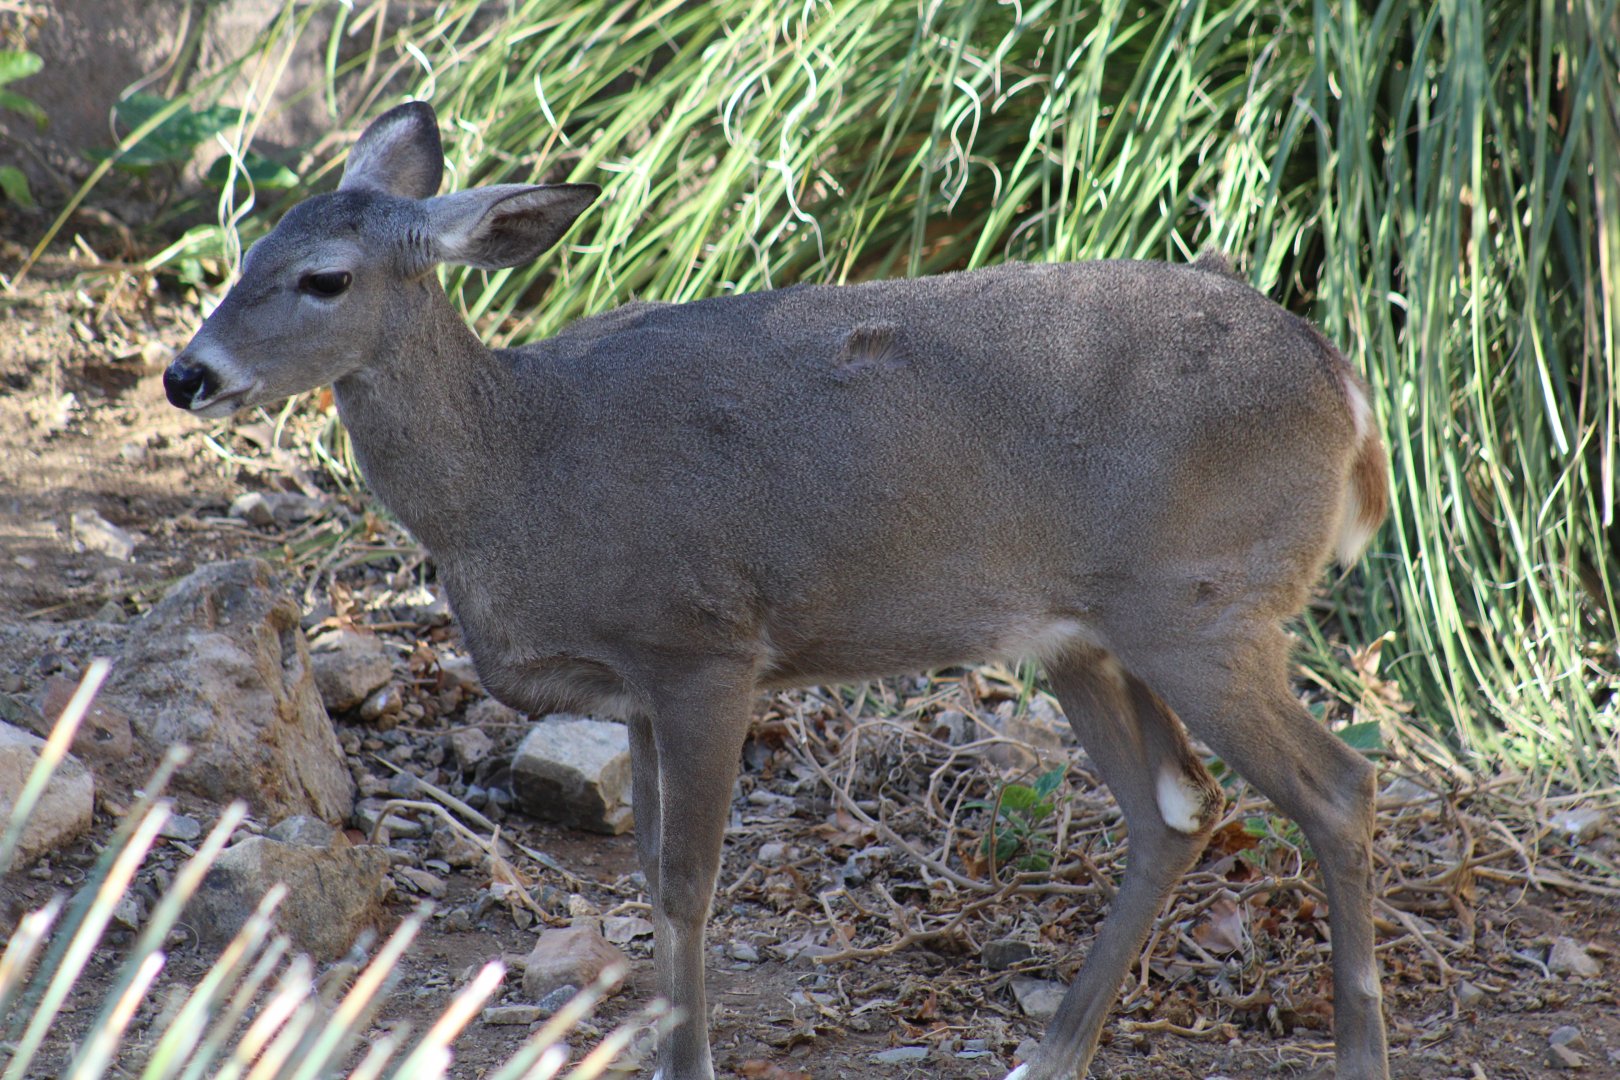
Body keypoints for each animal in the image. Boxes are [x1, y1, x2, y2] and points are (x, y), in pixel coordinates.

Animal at [164, 100, 1391, 1080]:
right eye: (246, 247)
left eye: (325, 279)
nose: (187, 376)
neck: (521, 467)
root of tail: (1346, 381)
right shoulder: (634, 688)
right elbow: (651, 874)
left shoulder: (702, 645)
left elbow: (690, 882)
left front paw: (690, 1063)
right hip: (1087, 635)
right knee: (1178, 807)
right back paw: (1046, 1056)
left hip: (1206, 603)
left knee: (1337, 786)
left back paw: (1351, 1054)